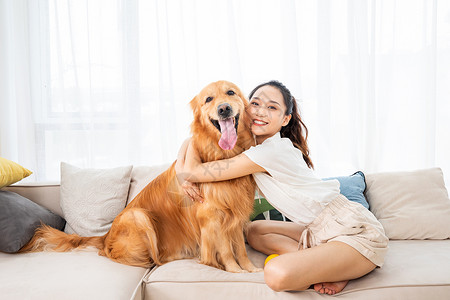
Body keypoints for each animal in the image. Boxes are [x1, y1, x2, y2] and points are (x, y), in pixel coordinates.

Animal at [21, 81, 260, 274]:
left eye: (231, 92)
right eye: (208, 99)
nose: (223, 108)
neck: (223, 155)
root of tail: (105, 237)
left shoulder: (235, 214)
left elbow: (240, 248)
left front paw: (251, 269)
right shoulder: (211, 216)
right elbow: (226, 249)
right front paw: (235, 271)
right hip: (138, 215)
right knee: (124, 256)